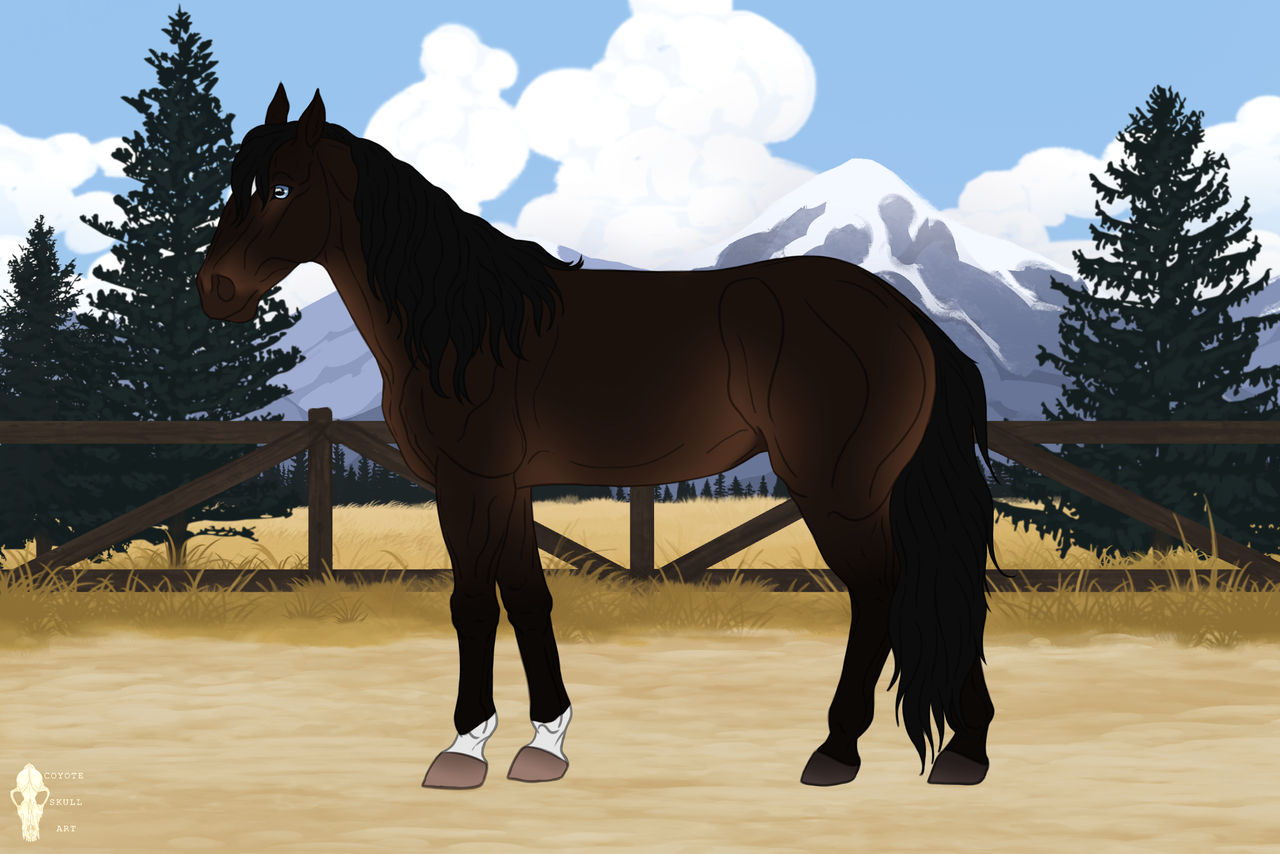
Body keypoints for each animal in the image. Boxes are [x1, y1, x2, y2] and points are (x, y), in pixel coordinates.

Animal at [196, 84, 1001, 791]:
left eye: (281, 190)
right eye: (236, 185)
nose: (216, 290)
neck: (467, 328)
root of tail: (910, 322)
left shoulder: (469, 484)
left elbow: (472, 602)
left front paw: (463, 749)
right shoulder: (510, 487)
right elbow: (527, 598)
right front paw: (544, 743)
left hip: (838, 490)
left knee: (880, 594)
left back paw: (836, 751)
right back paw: (966, 752)